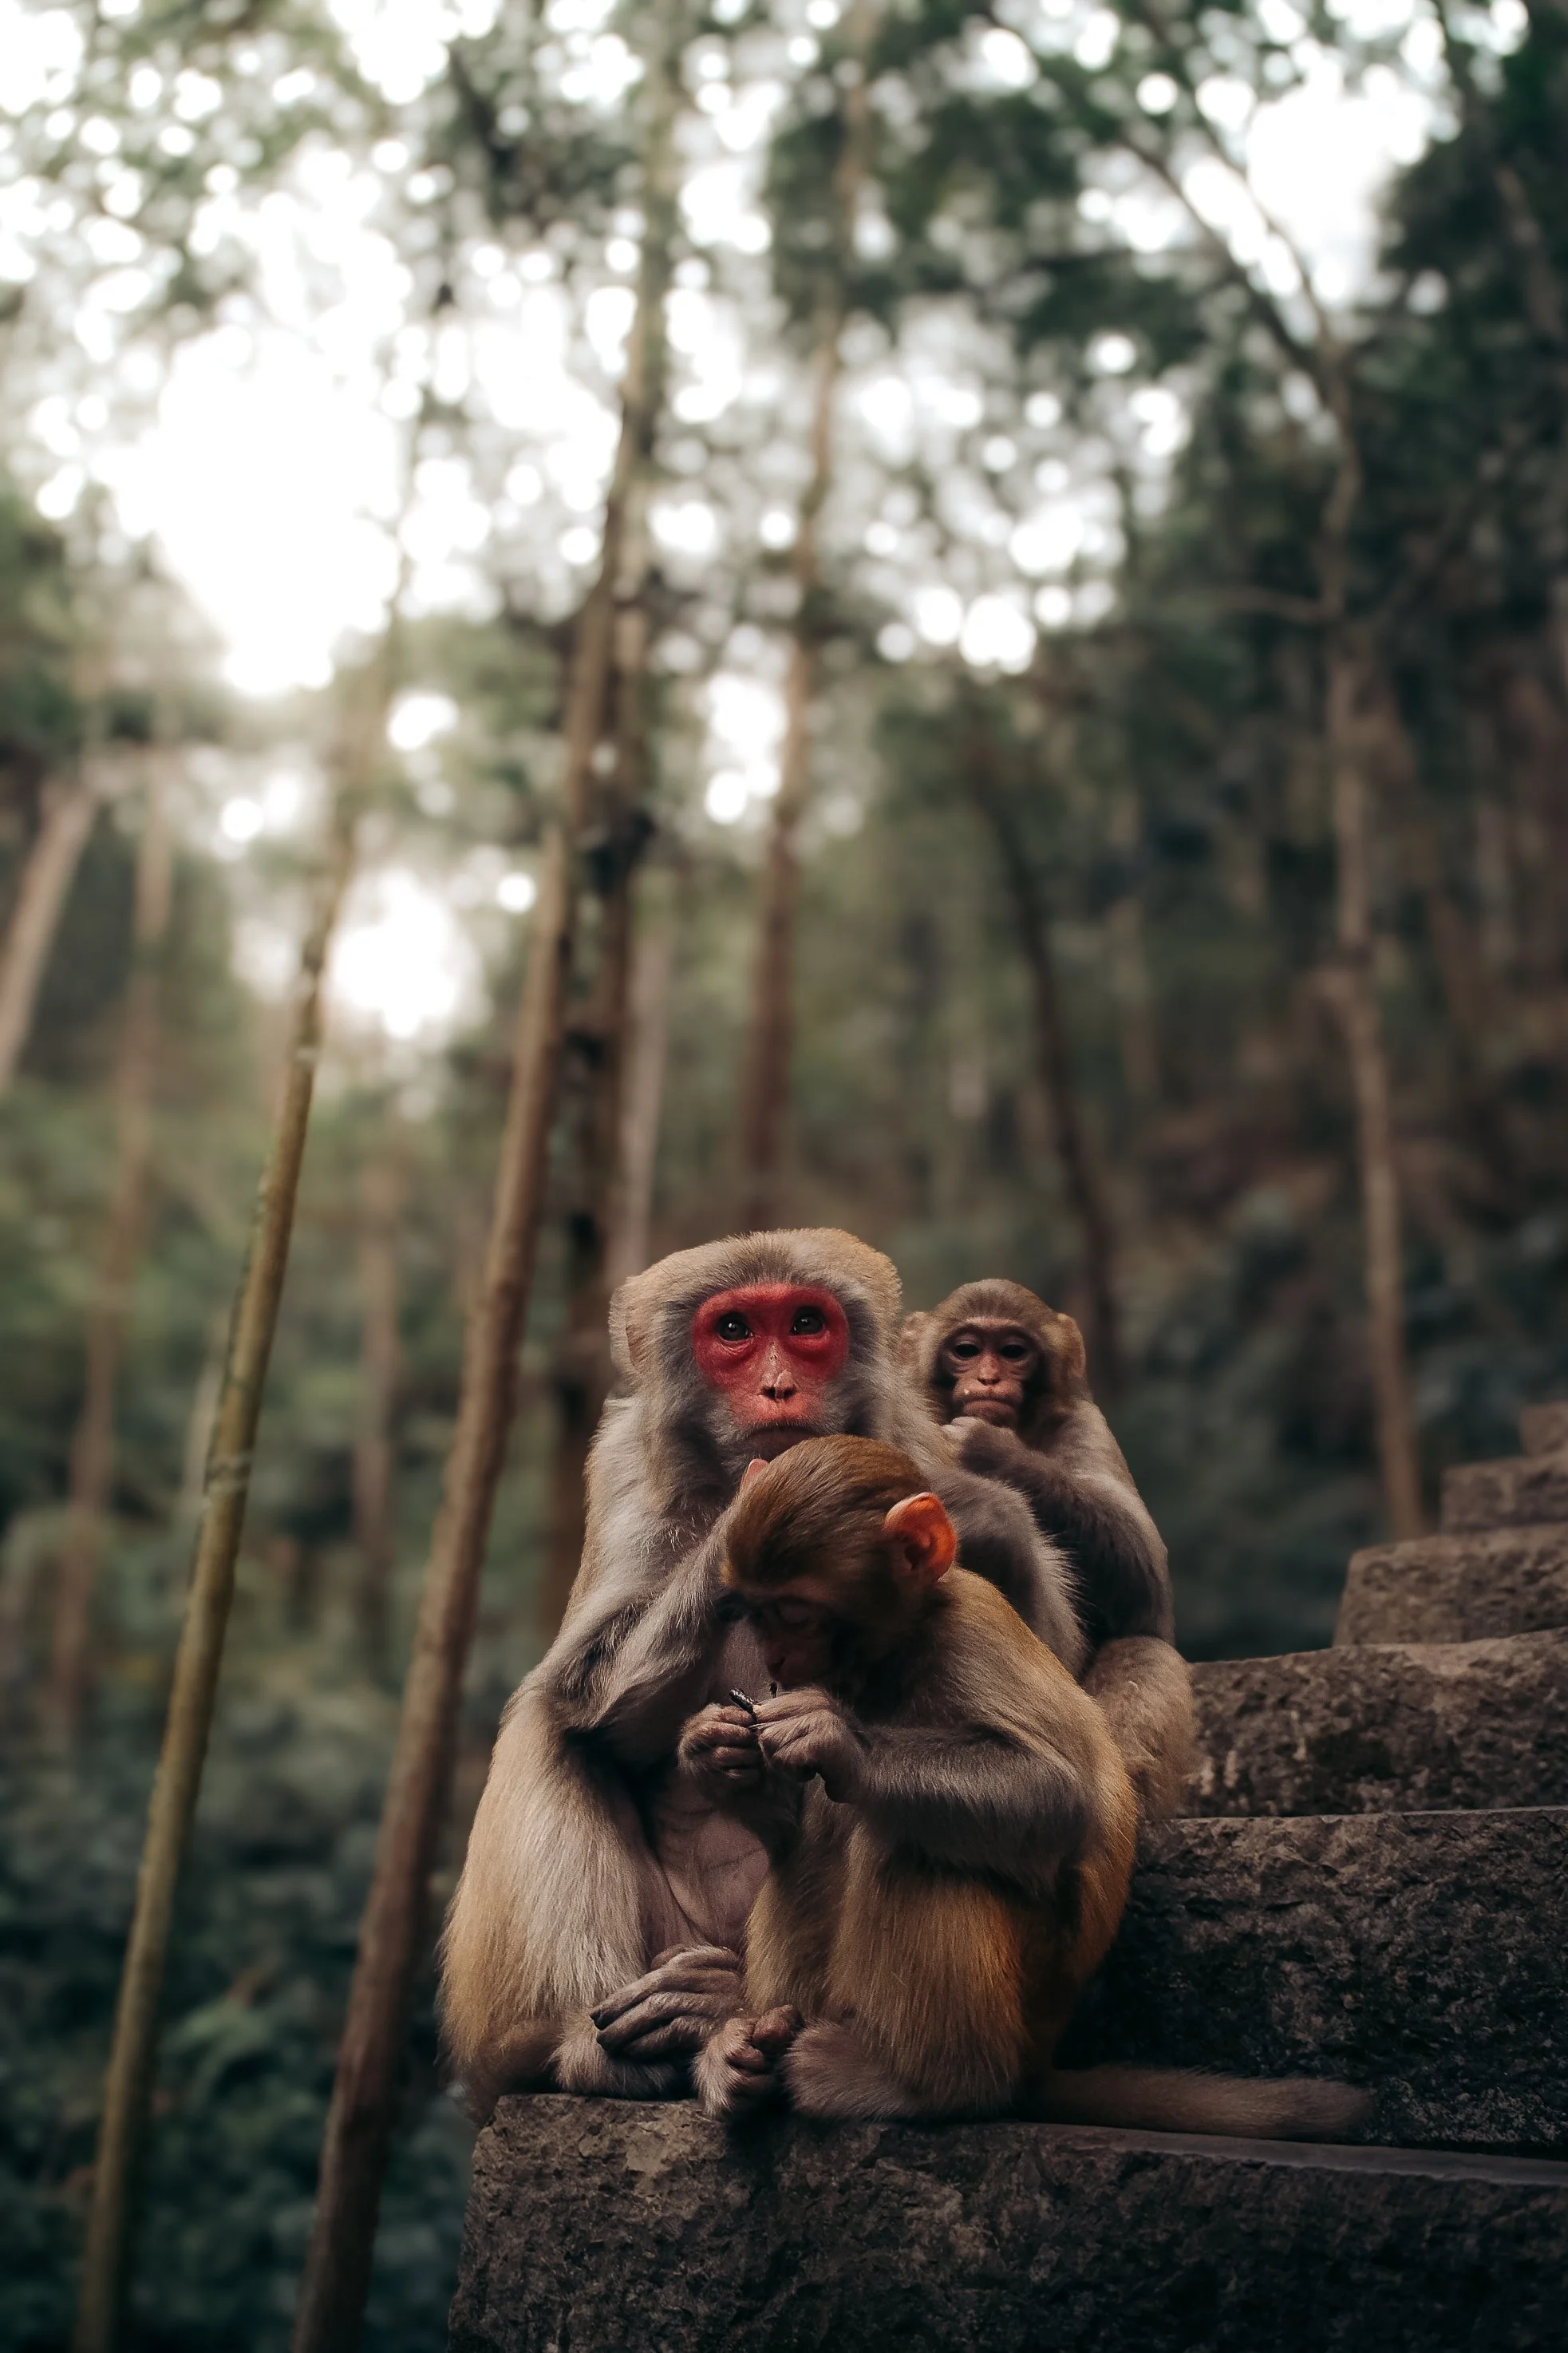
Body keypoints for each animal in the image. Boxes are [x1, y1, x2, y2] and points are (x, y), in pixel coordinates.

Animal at [439, 1230, 1085, 2120]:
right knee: (551, 1723)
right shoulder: (625, 1472)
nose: (779, 1387)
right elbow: (589, 1691)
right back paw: (589, 2050)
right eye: (735, 1330)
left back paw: (730, 2025)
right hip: (657, 1949)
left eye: (806, 1323)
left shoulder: (939, 1476)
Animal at [668, 1435, 1368, 2141]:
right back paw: (748, 2053)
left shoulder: (968, 1635)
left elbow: (1056, 1796)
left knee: (912, 1845)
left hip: (1026, 1998)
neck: (894, 1654)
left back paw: (925, 2086)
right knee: (817, 1844)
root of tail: (1037, 2061)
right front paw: (715, 1753)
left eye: (793, 1613)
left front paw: (838, 1739)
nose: (774, 1662)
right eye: (752, 1614)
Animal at [903, 1280, 1195, 1821]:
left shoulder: (1083, 1422)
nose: (989, 1378)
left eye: (1013, 1351)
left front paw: (993, 1452)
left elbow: (1149, 1585)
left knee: (1144, 1647)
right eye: (966, 1349)